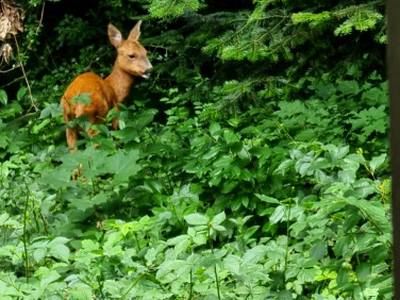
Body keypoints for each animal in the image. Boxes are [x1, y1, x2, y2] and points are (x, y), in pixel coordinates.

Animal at [60, 21, 152, 152]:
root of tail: (76, 101)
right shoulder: (116, 117)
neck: (114, 89)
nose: (149, 70)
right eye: (131, 55)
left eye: (145, 52)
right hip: (94, 120)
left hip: (68, 124)